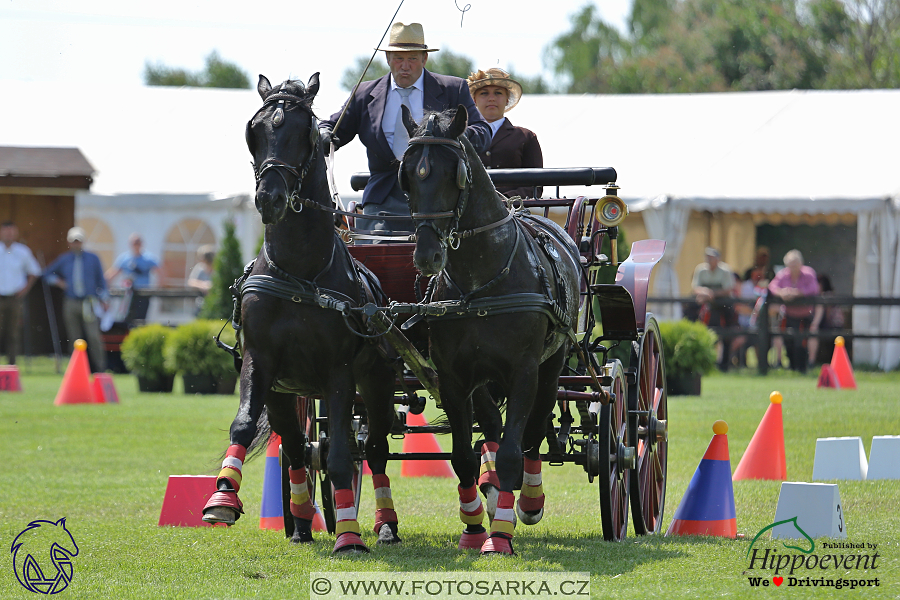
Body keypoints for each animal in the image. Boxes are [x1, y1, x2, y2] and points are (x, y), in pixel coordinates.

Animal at [206, 74, 402, 552]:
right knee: (297, 449)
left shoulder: (339, 372)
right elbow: (244, 426)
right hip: (286, 392)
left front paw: (348, 535)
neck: (299, 271)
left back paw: (385, 523)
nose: (269, 198)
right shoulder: (260, 364)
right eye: (254, 132)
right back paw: (297, 522)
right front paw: (223, 497)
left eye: (305, 134)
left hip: (376, 381)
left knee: (374, 450)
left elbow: (341, 457)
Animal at [398, 105, 580, 556]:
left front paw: (501, 534)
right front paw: (474, 526)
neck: (481, 279)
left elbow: (517, 448)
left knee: (534, 431)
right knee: (494, 431)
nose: (427, 255)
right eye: (407, 175)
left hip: (552, 366)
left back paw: (527, 501)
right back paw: (495, 490)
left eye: (455, 175)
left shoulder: (523, 371)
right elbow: (464, 455)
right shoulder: (453, 377)